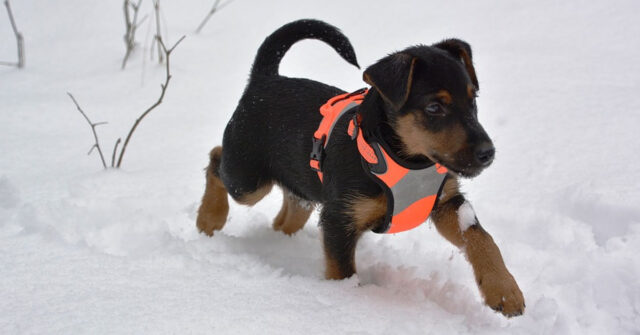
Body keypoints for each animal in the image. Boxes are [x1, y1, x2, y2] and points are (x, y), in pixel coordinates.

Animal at [199, 19, 524, 318]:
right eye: (434, 108)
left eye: (473, 100)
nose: (487, 153)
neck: (405, 158)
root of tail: (263, 80)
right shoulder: (339, 218)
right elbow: (342, 272)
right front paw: (349, 304)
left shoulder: (446, 204)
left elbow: (482, 238)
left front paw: (504, 291)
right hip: (247, 180)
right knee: (216, 158)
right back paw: (209, 218)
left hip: (296, 184)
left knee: (289, 210)